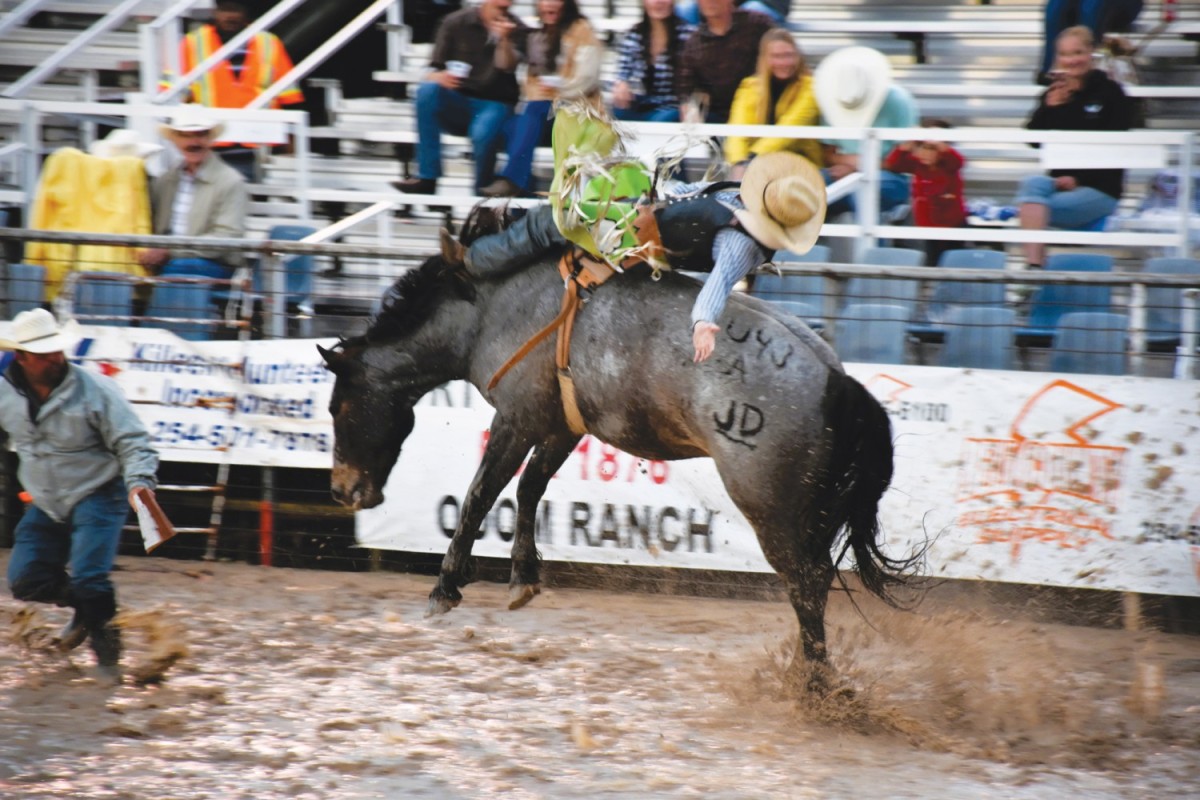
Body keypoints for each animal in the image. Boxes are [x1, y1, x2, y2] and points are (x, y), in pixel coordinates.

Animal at [319, 208, 916, 695]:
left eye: (337, 406)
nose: (342, 490)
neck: (487, 309)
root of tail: (837, 380)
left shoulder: (516, 416)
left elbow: (480, 495)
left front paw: (445, 587)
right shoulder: (560, 425)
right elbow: (529, 489)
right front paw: (523, 579)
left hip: (772, 509)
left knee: (806, 584)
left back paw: (812, 685)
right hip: (808, 510)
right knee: (815, 581)